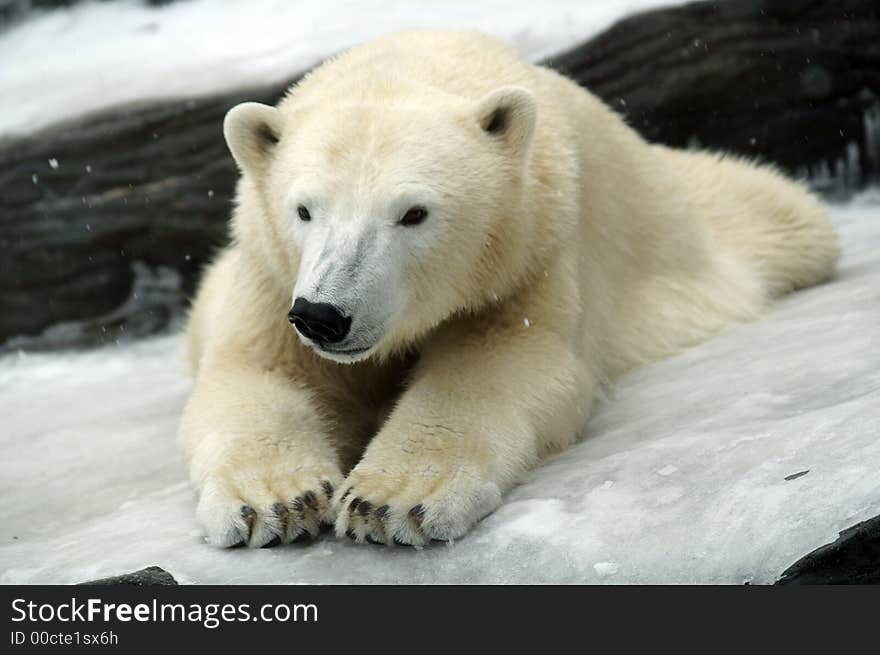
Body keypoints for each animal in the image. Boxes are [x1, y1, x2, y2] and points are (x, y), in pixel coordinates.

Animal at [179, 29, 840, 548]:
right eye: (304, 209)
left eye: (413, 213)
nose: (324, 315)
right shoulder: (272, 277)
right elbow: (260, 373)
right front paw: (276, 501)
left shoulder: (530, 258)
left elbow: (502, 364)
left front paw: (390, 500)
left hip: (693, 224)